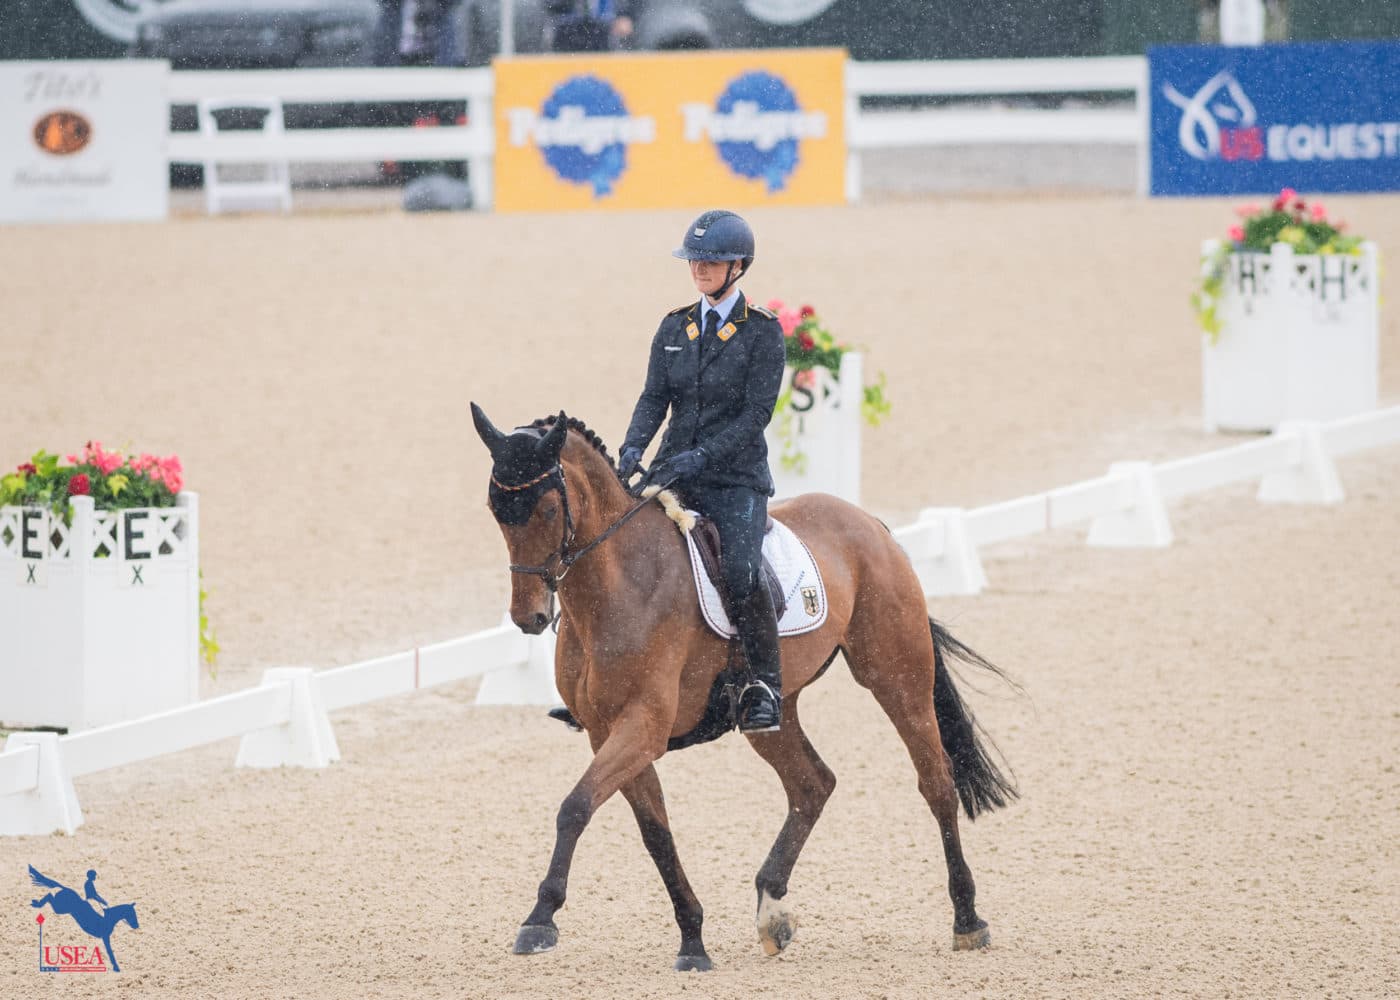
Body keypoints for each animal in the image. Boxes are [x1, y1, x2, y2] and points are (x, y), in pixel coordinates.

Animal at [471, 404, 1018, 971]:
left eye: (547, 509)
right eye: (496, 511)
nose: (530, 617)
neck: (618, 585)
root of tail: (870, 524)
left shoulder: (643, 725)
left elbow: (575, 807)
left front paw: (540, 919)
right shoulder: (608, 733)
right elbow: (654, 832)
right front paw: (692, 939)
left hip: (896, 677)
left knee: (936, 782)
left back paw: (968, 920)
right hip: (772, 710)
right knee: (812, 783)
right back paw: (772, 911)